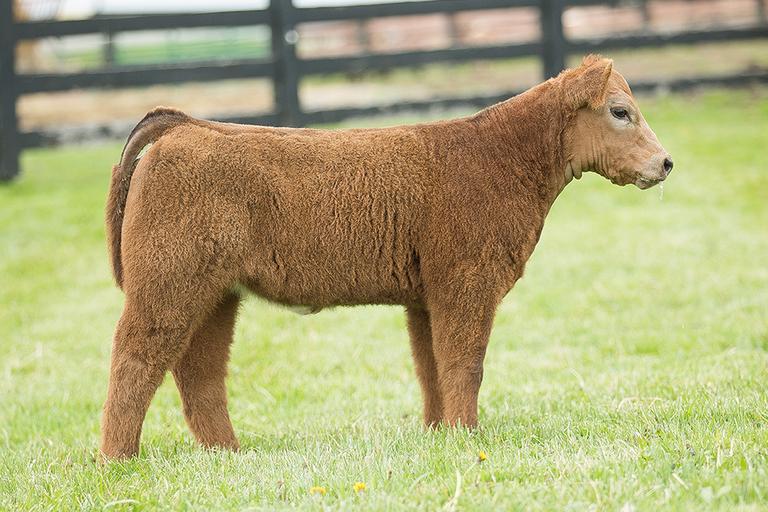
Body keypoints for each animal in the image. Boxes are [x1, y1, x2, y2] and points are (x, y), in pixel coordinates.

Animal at [100, 56, 672, 460]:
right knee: (136, 358)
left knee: (199, 370)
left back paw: (230, 455)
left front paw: (441, 434)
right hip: (167, 283)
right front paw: (467, 436)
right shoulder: (467, 283)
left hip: (216, 294)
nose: (665, 162)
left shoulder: (426, 297)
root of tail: (187, 127)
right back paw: (116, 460)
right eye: (620, 111)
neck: (498, 157)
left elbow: (431, 365)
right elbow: (465, 362)